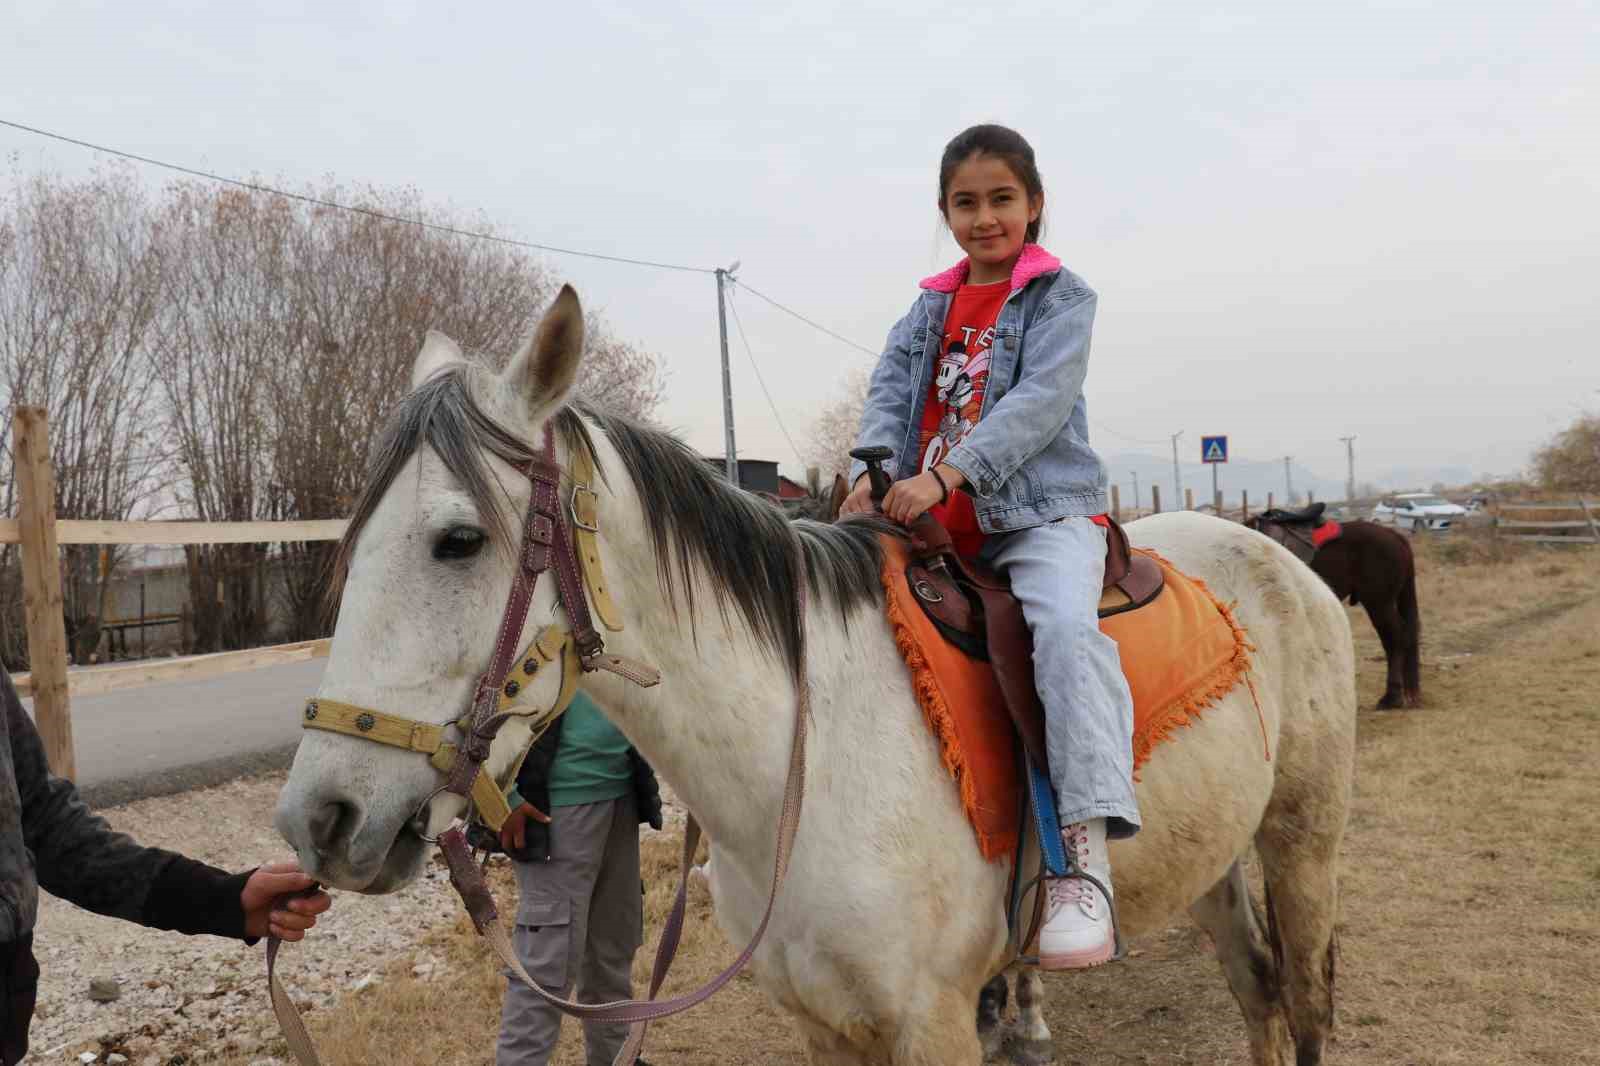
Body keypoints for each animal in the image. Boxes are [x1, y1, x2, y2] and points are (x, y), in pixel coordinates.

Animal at [275, 291, 1350, 1062]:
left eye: (457, 541)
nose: (318, 821)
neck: (805, 757)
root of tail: (1280, 560)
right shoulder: (825, 1027)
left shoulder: (934, 1024)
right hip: (1212, 856)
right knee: (1255, 991)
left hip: (1301, 843)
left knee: (1299, 1003)